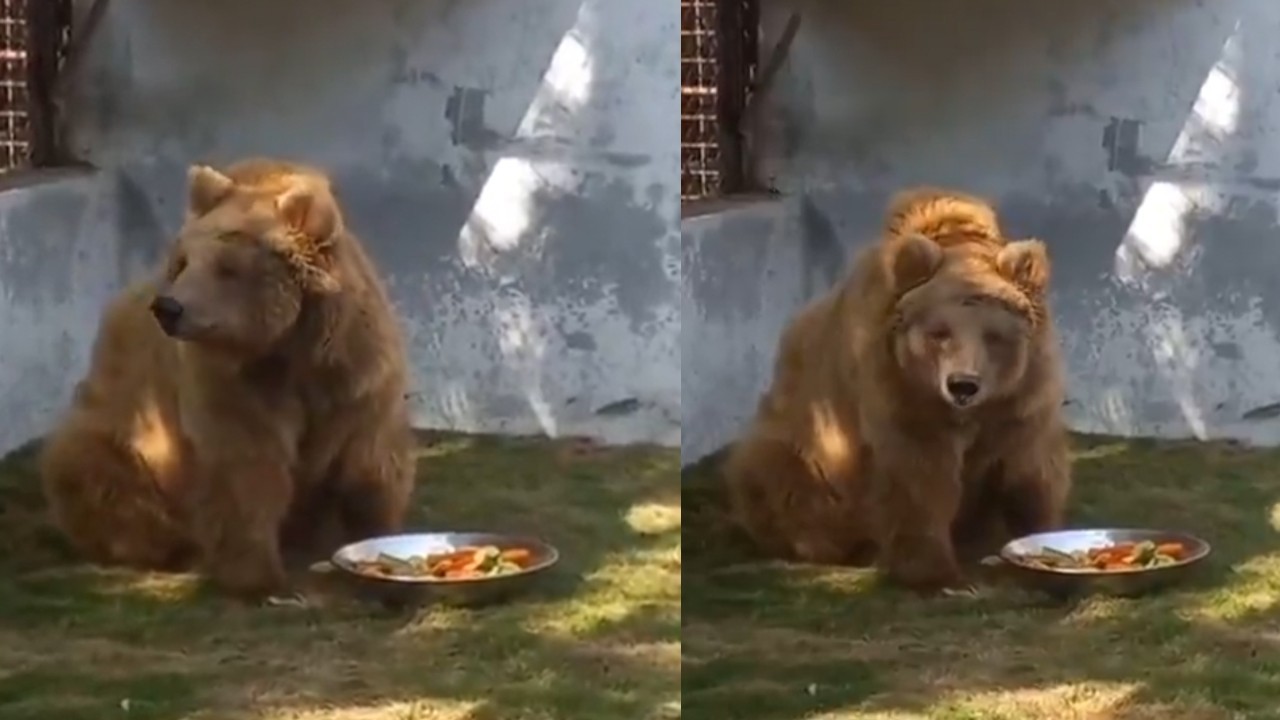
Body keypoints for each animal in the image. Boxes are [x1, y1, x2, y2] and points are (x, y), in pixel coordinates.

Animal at [39, 157, 416, 601]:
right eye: (184, 262)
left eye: (227, 267)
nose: (168, 307)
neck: (285, 345)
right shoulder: (231, 384)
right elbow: (244, 467)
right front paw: (258, 577)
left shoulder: (351, 372)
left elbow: (366, 460)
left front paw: (381, 554)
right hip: (126, 426)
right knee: (99, 474)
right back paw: (172, 544)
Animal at [723, 187, 1071, 593]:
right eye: (939, 332)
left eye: (993, 335)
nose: (962, 385)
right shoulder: (899, 389)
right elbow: (917, 479)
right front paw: (940, 577)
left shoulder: (1018, 402)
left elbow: (1027, 471)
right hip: (805, 445)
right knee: (780, 481)